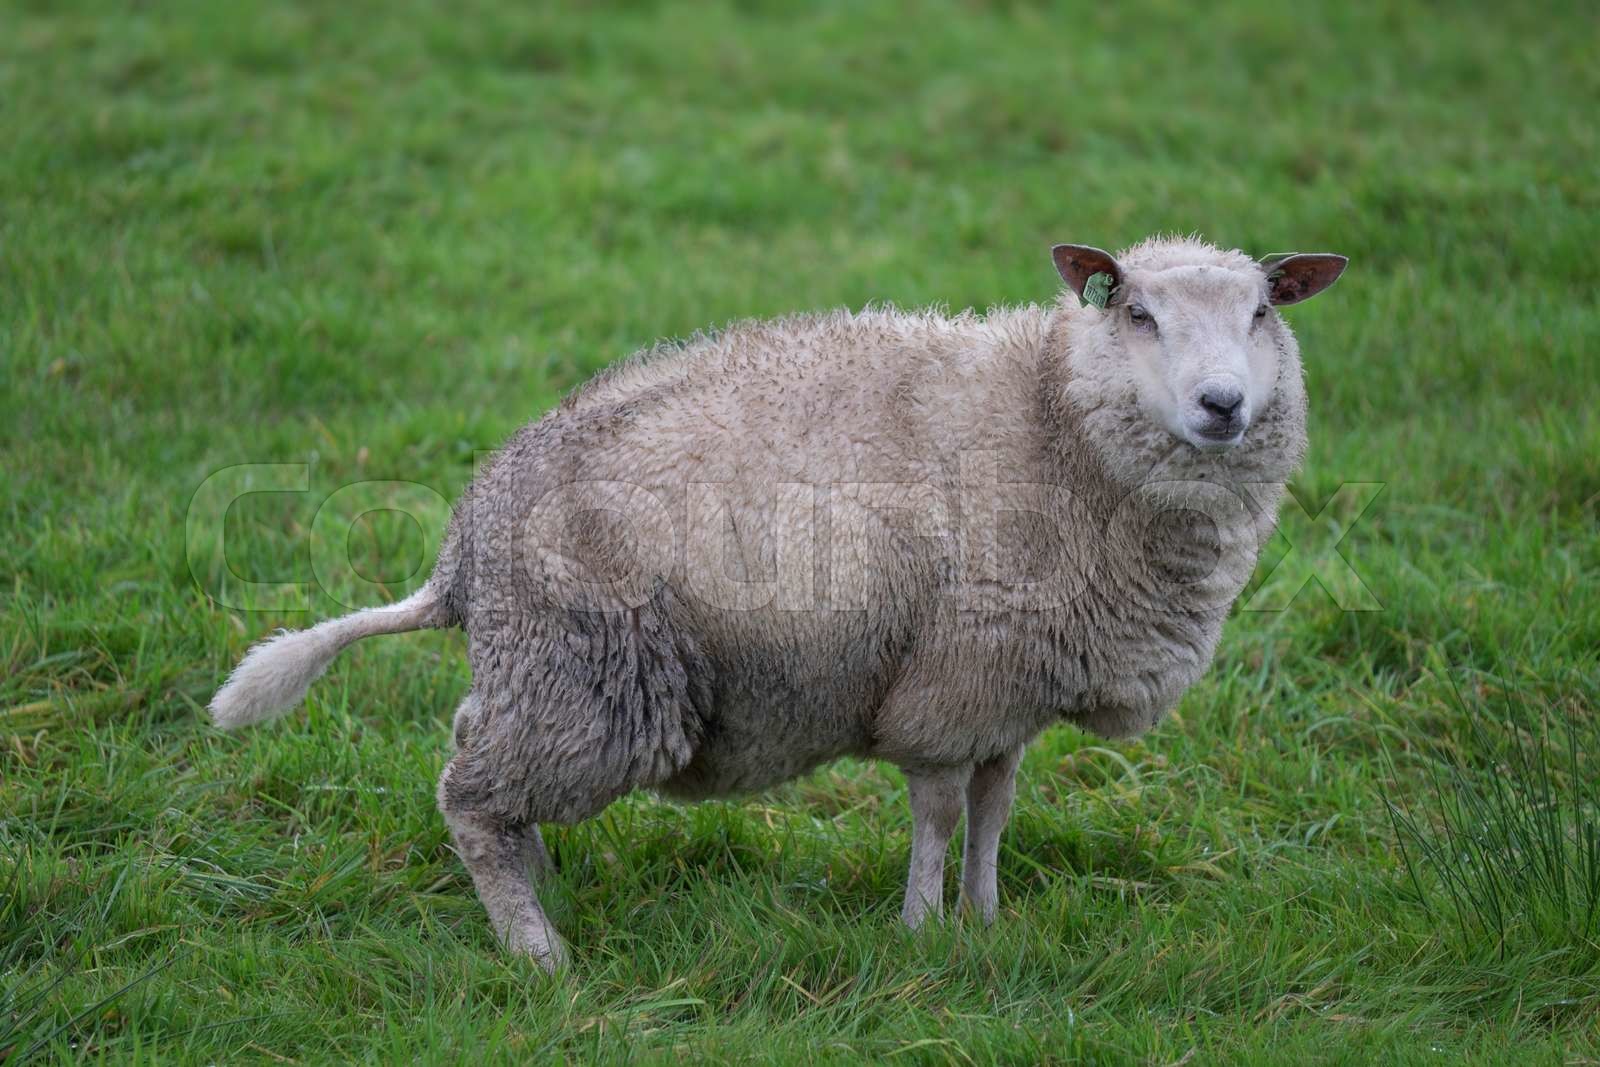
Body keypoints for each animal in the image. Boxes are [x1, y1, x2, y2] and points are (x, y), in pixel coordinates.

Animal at [209, 235, 1347, 970]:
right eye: (1137, 312)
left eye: (1262, 311)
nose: (1222, 405)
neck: (1051, 420)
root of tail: (462, 548)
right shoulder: (950, 680)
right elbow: (939, 810)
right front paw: (923, 931)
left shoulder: (1009, 686)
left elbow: (995, 807)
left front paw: (986, 921)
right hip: (593, 676)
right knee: (469, 797)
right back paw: (537, 950)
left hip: (548, 670)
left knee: (471, 750)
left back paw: (542, 885)